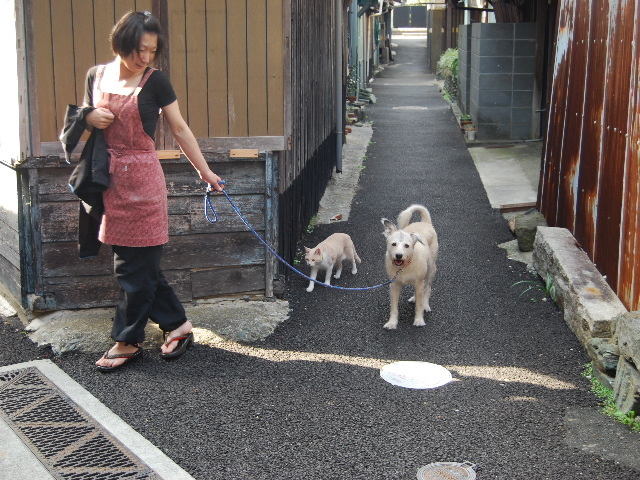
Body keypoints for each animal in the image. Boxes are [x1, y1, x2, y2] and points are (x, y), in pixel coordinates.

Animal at [380, 202, 440, 330]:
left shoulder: (419, 282)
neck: (404, 266)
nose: (398, 255)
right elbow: (394, 308)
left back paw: (425, 304)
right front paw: (392, 323)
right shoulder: (394, 285)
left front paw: (419, 320)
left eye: (407, 246)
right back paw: (414, 298)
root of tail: (425, 222)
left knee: (427, 288)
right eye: (393, 244)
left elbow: (419, 306)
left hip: (431, 269)